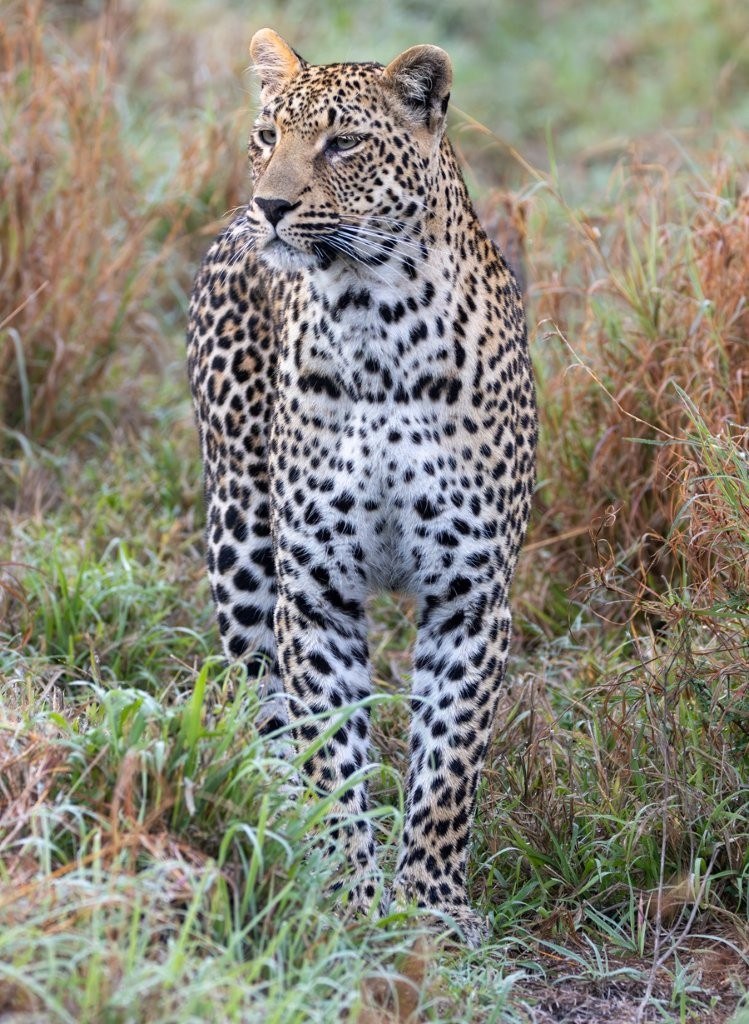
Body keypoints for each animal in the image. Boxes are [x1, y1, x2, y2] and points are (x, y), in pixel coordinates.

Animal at [187, 28, 537, 947]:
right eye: (268, 134)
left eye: (342, 144)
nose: (272, 206)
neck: (376, 324)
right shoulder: (315, 596)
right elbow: (331, 753)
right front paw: (349, 891)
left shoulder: (468, 597)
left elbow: (448, 766)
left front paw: (434, 903)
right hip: (240, 542)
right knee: (266, 707)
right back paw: (279, 824)